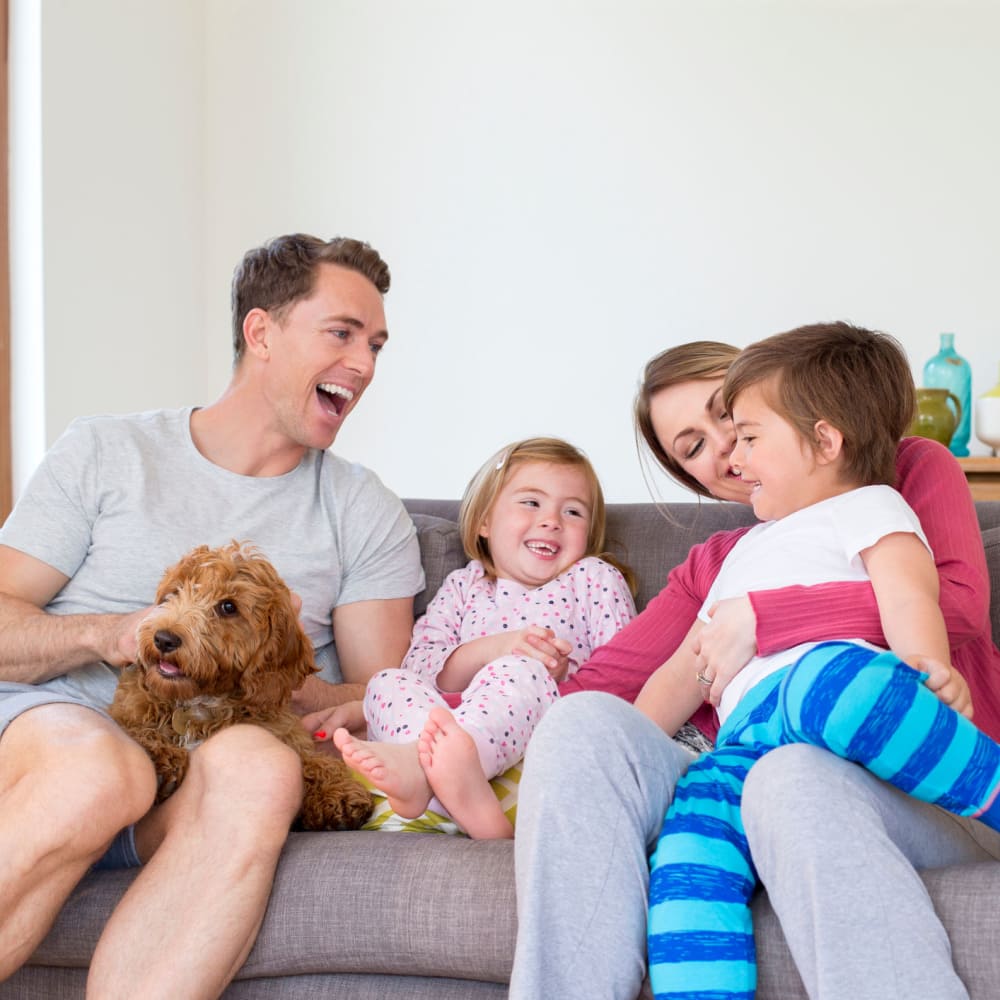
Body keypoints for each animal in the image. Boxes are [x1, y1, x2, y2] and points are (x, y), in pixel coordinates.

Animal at [109, 544, 374, 832]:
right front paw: (160, 757)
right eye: (175, 591)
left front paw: (337, 792)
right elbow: (134, 730)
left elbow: (308, 757)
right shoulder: (129, 710)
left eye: (228, 607)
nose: (164, 638)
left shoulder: (279, 727)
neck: (198, 701)